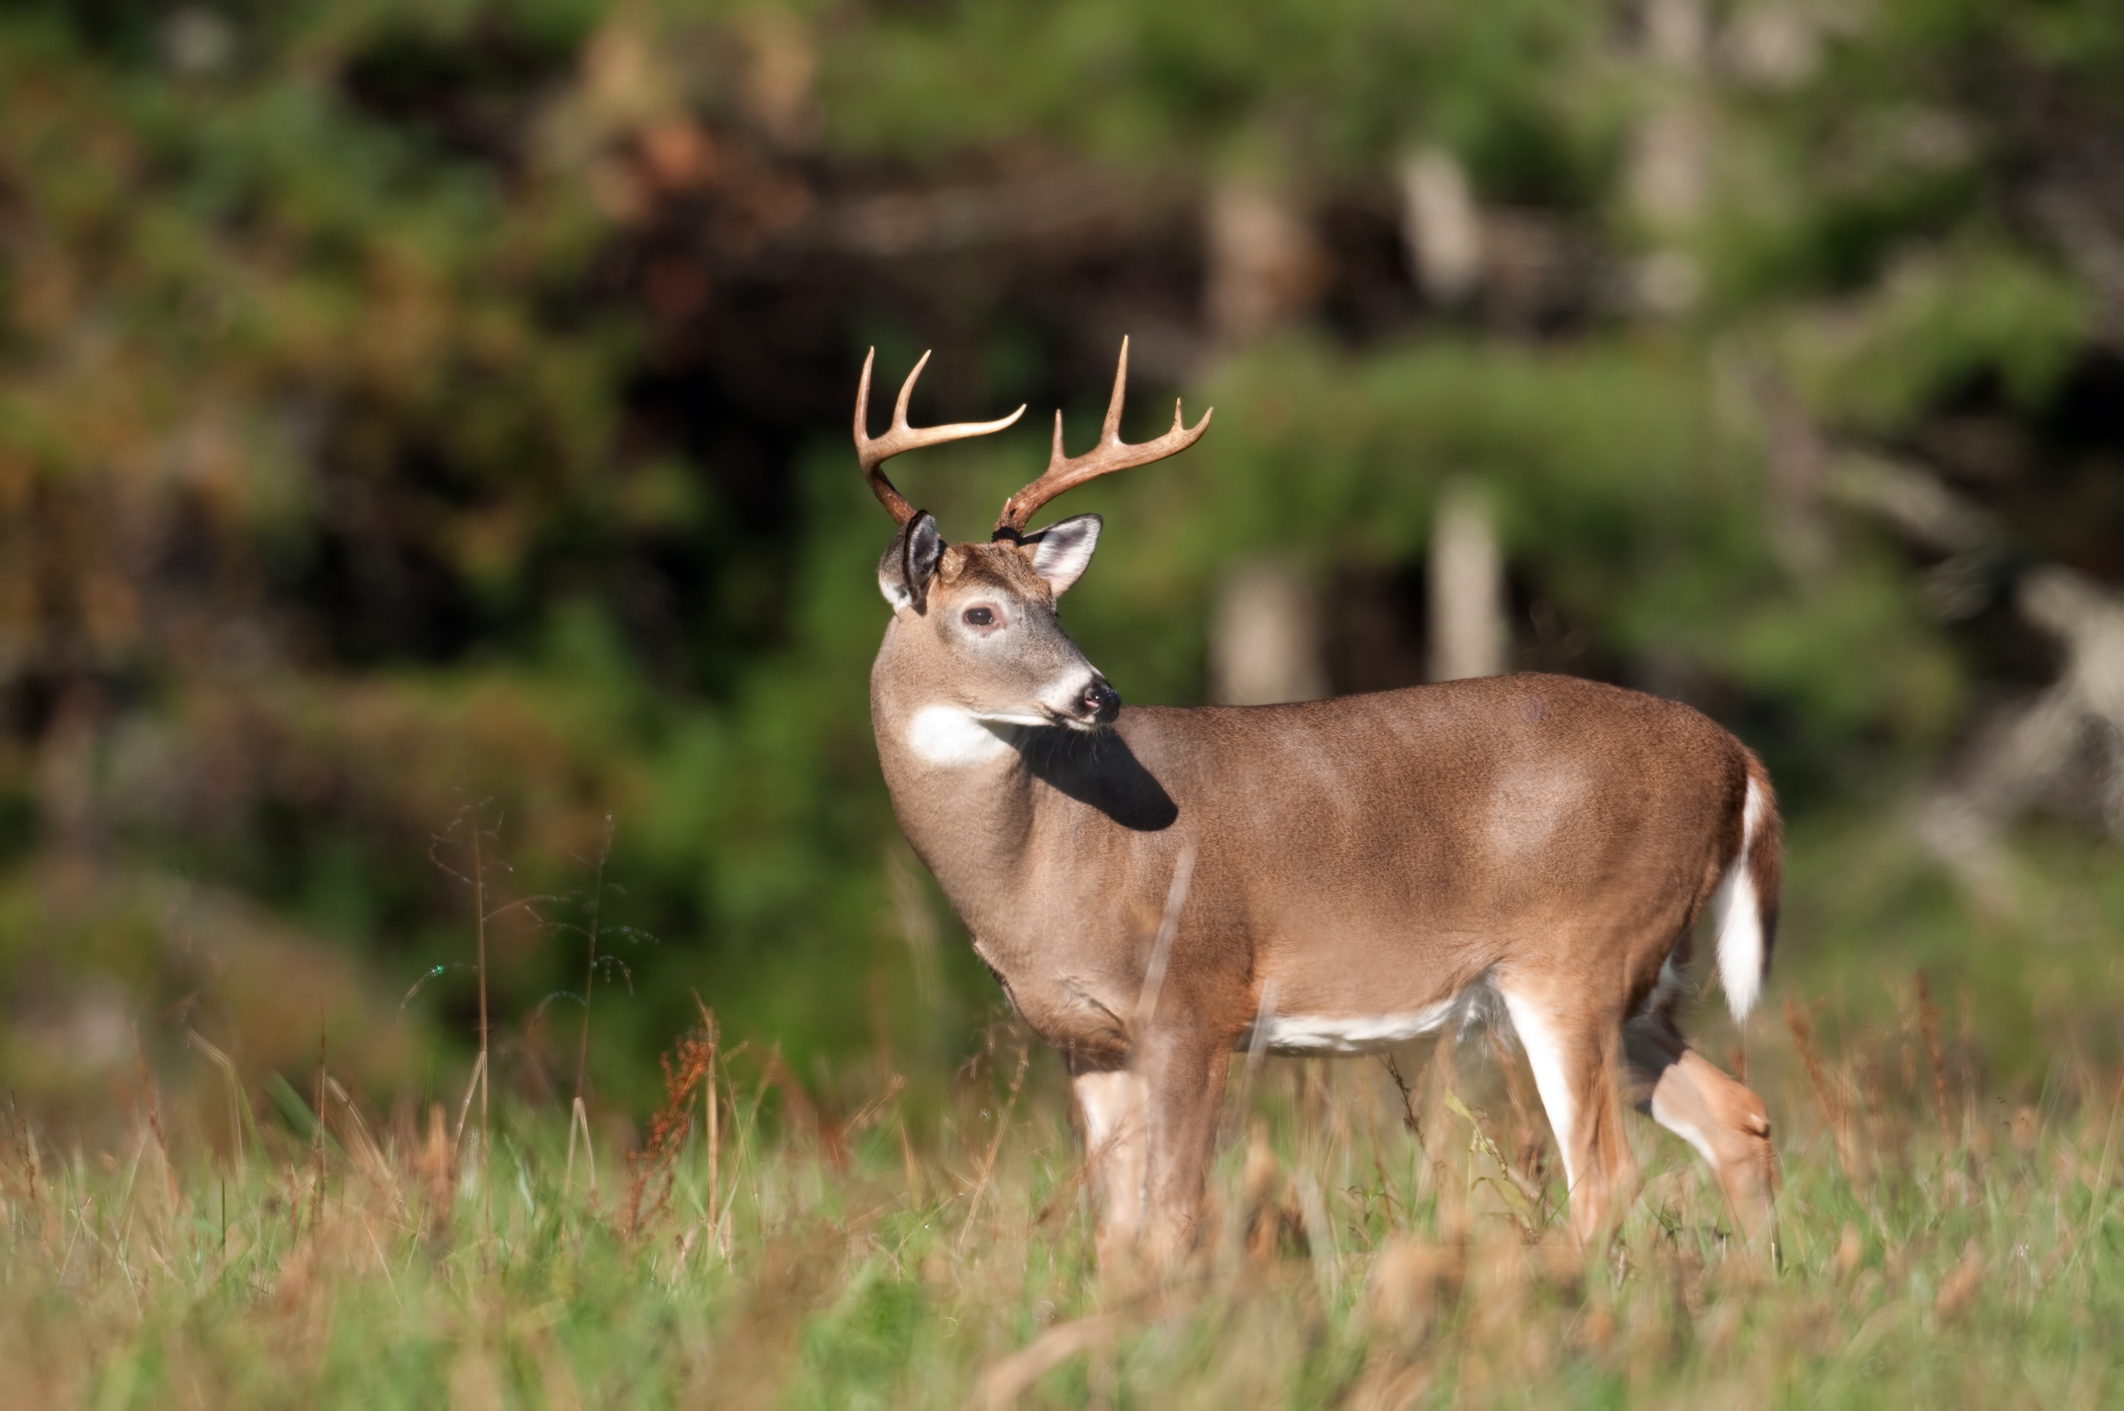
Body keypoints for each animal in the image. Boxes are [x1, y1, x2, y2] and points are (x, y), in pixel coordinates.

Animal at [856, 339, 1782, 1266]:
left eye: (1053, 605)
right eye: (981, 613)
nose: (1097, 694)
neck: (1043, 858)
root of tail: (1739, 759)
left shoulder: (1195, 997)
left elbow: (1174, 1213)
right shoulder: (1087, 1039)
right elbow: (1117, 1231)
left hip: (1578, 953)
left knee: (1609, 1171)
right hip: (1640, 975)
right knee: (1738, 1116)